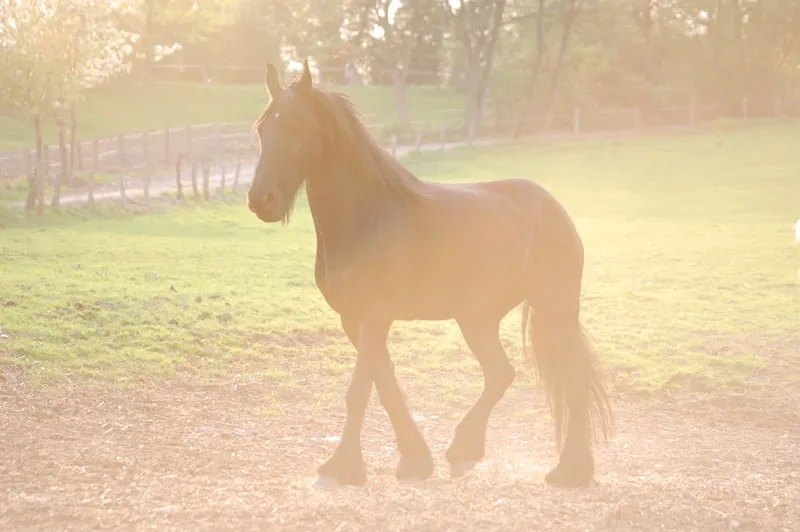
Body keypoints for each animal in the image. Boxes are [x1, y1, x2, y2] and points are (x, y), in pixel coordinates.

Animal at [248, 60, 612, 488]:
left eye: (298, 125)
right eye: (262, 127)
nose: (261, 199)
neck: (366, 218)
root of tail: (552, 206)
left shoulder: (374, 316)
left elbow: (359, 391)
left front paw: (341, 466)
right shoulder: (354, 320)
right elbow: (385, 384)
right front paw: (414, 460)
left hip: (551, 307)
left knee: (569, 378)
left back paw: (568, 469)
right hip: (478, 317)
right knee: (501, 373)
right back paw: (468, 450)